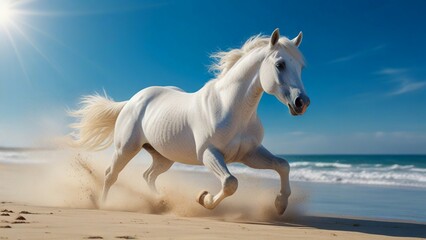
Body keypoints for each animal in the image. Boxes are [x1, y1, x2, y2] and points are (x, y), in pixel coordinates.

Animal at [70, 29, 310, 215]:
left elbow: (283, 165)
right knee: (111, 174)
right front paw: (203, 198)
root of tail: (132, 100)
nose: (302, 102)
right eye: (280, 64)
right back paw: (103, 204)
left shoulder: (249, 153)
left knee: (148, 176)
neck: (231, 108)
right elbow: (230, 183)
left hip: (163, 157)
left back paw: (160, 202)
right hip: (126, 148)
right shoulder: (208, 153)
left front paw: (280, 204)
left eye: (301, 67)